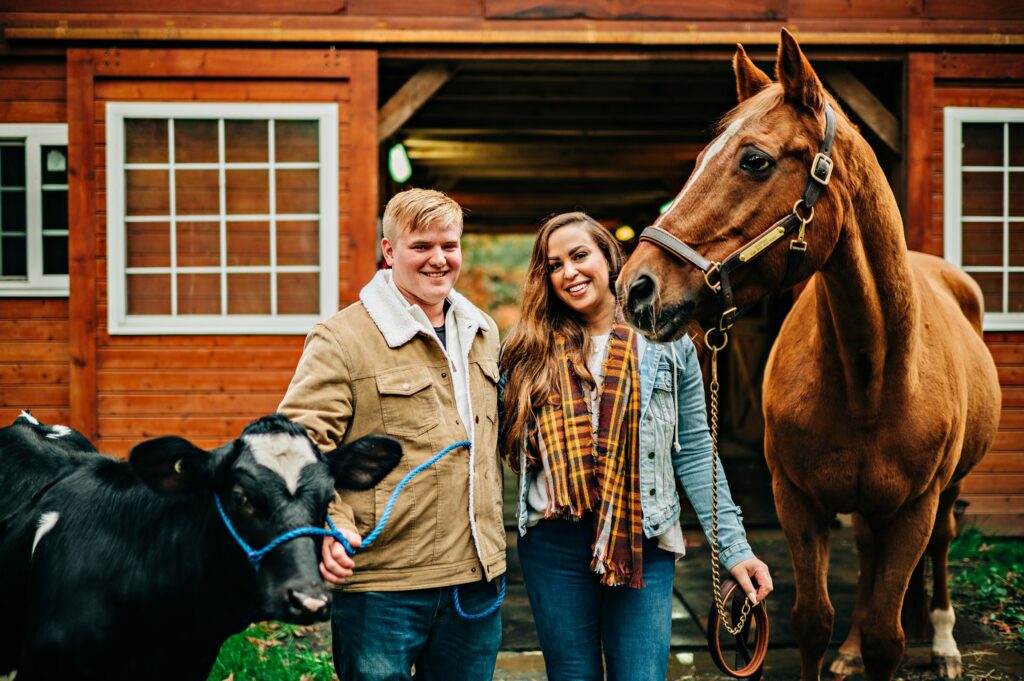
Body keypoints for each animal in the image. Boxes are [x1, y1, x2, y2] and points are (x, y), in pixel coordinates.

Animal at [614, 30, 999, 679]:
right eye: (699, 158)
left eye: (754, 160)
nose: (636, 288)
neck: (872, 376)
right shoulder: (797, 498)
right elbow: (814, 621)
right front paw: (840, 648)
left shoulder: (913, 511)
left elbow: (888, 636)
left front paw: (902, 642)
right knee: (864, 554)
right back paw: (849, 654)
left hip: (944, 495)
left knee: (944, 544)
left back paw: (945, 644)